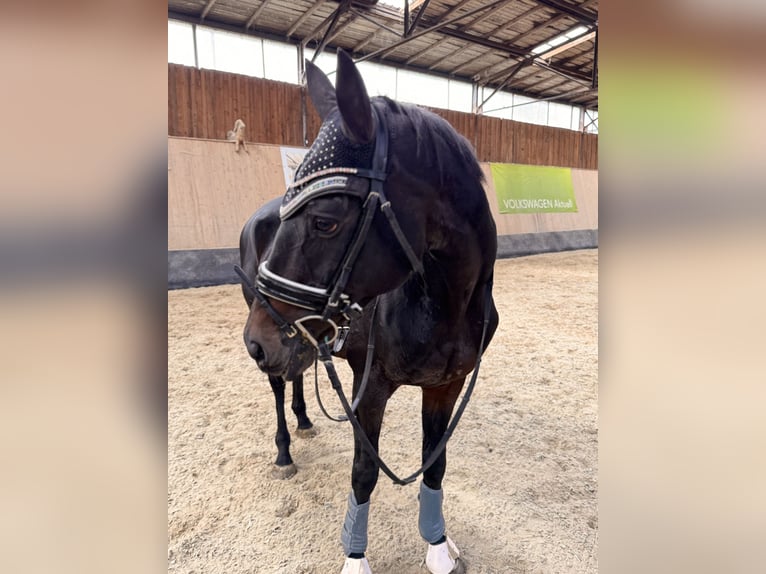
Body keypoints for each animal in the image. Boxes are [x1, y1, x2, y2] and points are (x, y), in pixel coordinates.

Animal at [242, 51, 504, 572]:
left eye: (325, 221)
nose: (255, 340)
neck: (443, 306)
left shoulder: (446, 386)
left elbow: (436, 465)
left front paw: (438, 546)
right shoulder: (372, 385)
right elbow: (364, 471)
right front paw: (355, 558)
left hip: (302, 340)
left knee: (297, 372)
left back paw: (305, 420)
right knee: (279, 385)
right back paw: (284, 450)